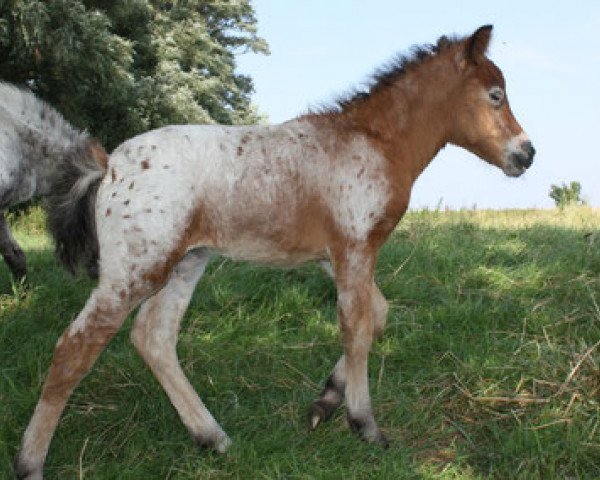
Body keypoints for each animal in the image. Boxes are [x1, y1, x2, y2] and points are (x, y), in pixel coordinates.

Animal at [16, 27, 536, 480]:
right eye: (495, 94)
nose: (526, 154)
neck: (373, 142)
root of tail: (109, 167)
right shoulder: (353, 249)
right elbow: (357, 328)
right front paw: (364, 424)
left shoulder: (336, 257)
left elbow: (378, 316)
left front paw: (325, 402)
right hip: (135, 270)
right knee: (75, 348)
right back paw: (30, 463)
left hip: (186, 262)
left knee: (153, 337)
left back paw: (212, 437)